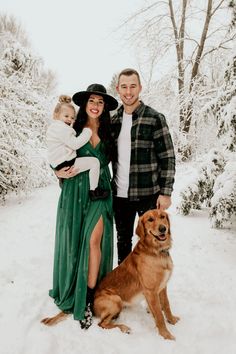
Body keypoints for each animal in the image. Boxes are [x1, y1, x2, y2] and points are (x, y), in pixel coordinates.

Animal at [93, 209, 180, 338]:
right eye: (150, 219)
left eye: (162, 217)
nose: (163, 228)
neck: (157, 252)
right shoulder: (151, 291)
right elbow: (159, 315)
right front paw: (166, 335)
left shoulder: (163, 287)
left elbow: (166, 305)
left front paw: (172, 320)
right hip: (116, 300)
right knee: (102, 324)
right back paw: (124, 328)